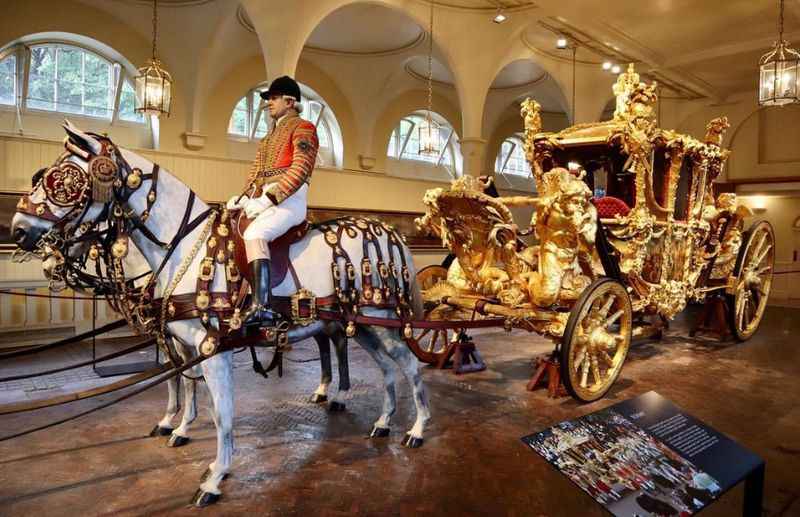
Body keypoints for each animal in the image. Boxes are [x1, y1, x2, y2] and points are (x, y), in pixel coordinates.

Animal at [10, 121, 432, 504]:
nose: (18, 230)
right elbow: (186, 386)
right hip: (361, 325)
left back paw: (416, 429)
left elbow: (220, 412)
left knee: (409, 366)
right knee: (384, 367)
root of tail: (388, 231)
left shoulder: (212, 348)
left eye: (65, 178)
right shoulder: (180, 342)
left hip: (380, 322)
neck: (184, 249)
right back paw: (381, 421)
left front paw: (213, 477)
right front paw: (181, 431)